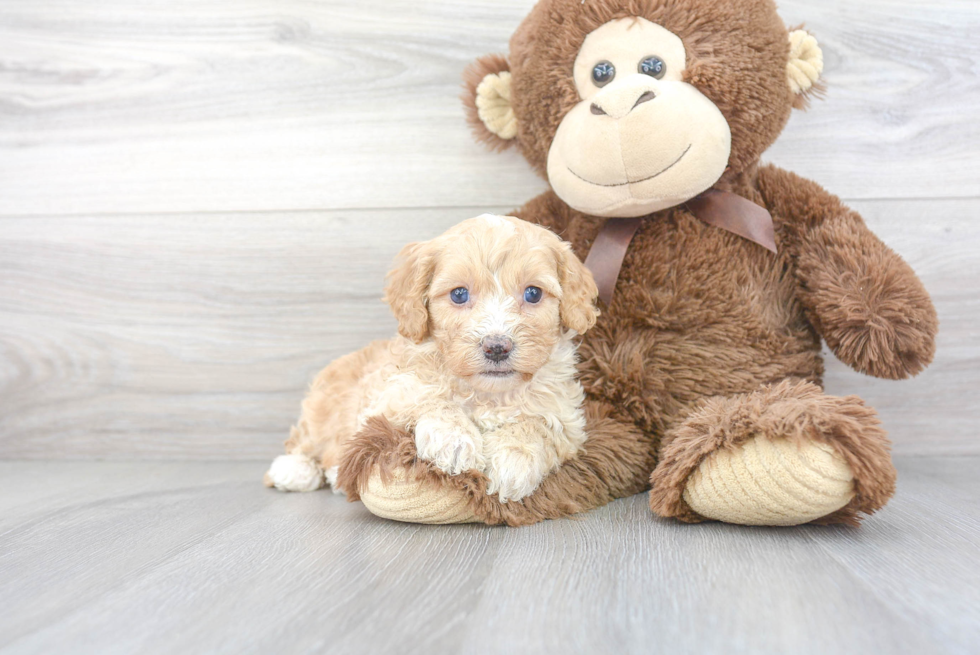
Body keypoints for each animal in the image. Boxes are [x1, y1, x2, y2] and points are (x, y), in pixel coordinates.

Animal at [264, 214, 596, 502]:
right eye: (459, 294)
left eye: (533, 294)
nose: (497, 347)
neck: (487, 395)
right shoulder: (390, 395)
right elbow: (431, 399)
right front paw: (454, 441)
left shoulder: (566, 418)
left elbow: (537, 425)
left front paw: (514, 460)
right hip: (321, 409)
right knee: (307, 440)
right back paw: (296, 470)